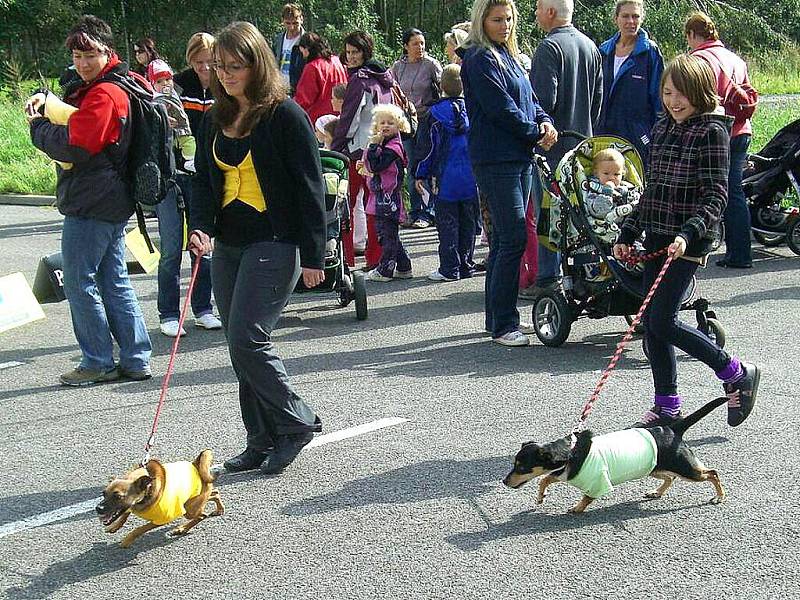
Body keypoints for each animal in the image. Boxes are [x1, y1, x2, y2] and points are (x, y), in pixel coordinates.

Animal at [95, 448, 223, 548]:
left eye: (118, 497)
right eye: (103, 493)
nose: (98, 508)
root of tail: (196, 464)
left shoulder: (161, 519)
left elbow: (139, 529)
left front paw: (127, 540)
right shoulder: (130, 507)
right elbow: (124, 515)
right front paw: (114, 526)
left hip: (190, 510)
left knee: (202, 515)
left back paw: (183, 528)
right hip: (193, 501)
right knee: (215, 493)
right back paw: (219, 509)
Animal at [506, 396, 732, 512]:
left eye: (521, 467)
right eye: (513, 464)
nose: (504, 481)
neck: (571, 452)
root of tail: (672, 429)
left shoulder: (597, 481)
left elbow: (587, 497)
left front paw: (577, 508)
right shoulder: (562, 473)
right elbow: (544, 479)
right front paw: (540, 498)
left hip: (685, 468)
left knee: (712, 473)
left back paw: (719, 497)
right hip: (654, 467)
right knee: (670, 478)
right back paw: (656, 492)